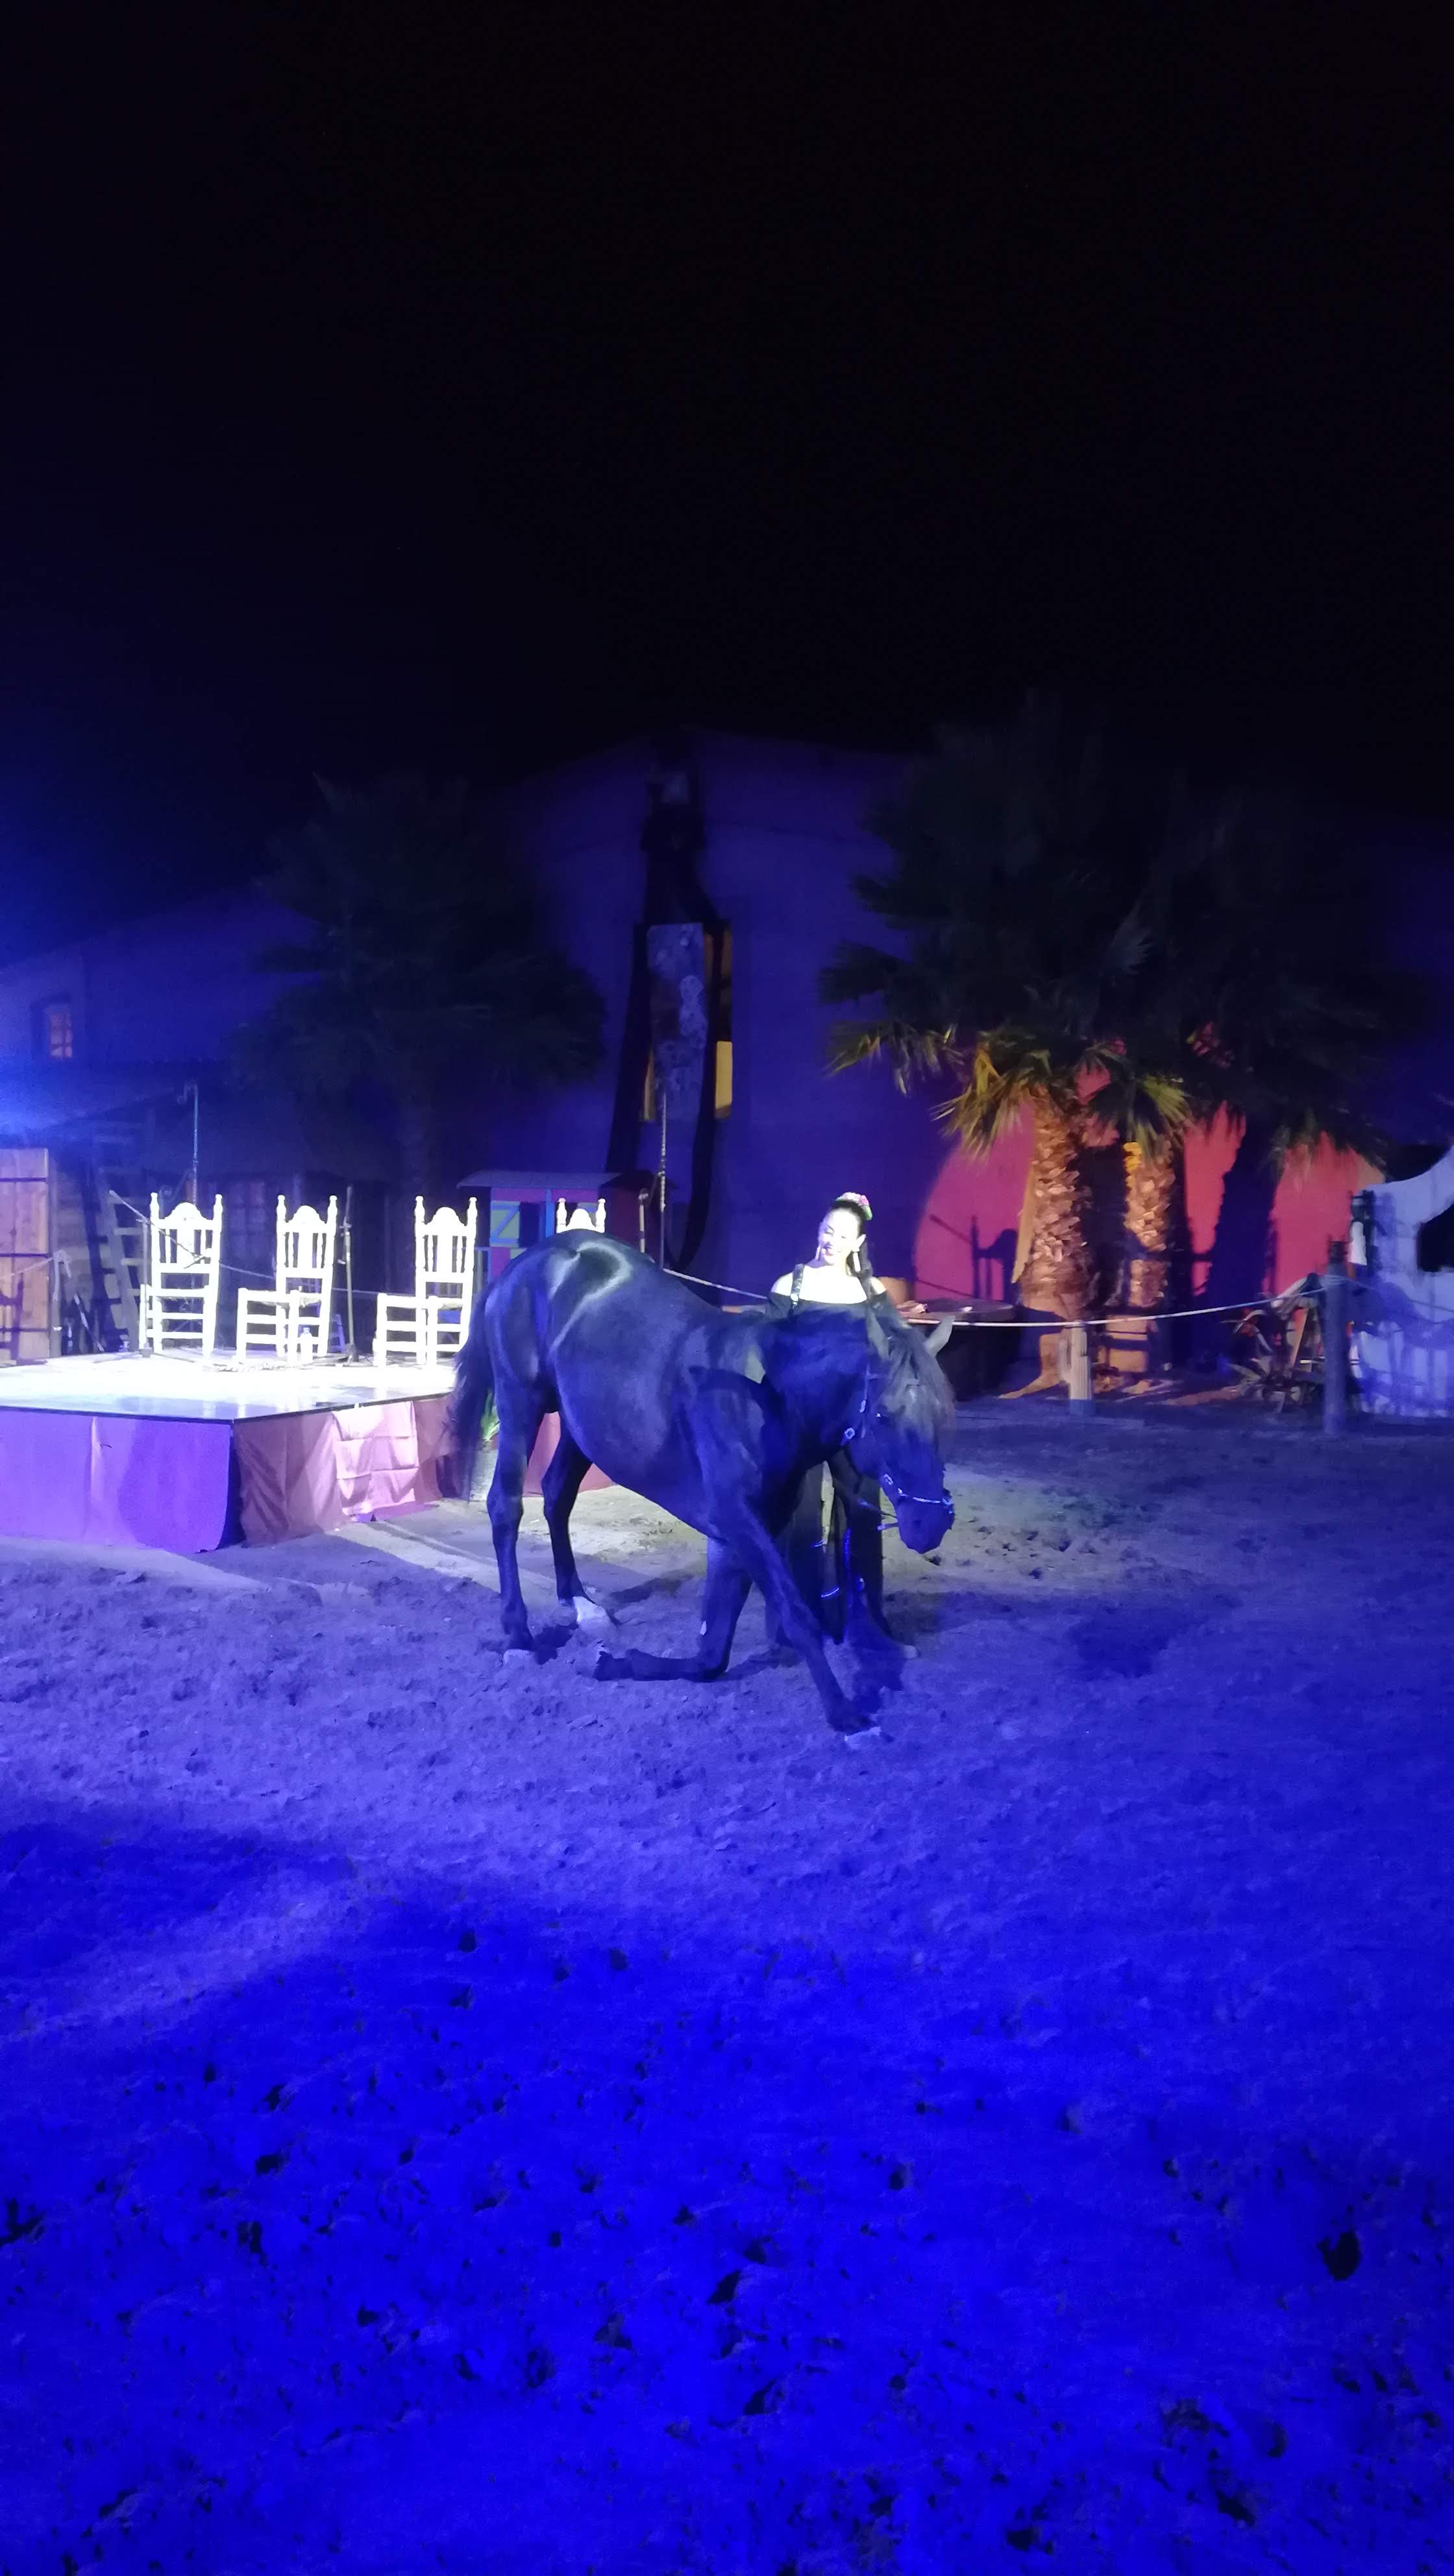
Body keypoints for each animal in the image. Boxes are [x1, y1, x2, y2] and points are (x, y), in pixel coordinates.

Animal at [449, 1235, 955, 1738]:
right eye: (884, 1414)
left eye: (943, 1414)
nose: (931, 1521)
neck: (765, 1398)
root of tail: (531, 1259)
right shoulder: (737, 1520)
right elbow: (793, 1614)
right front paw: (845, 1713)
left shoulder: (746, 1530)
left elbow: (713, 1653)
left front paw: (619, 1663)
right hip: (520, 1402)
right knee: (506, 1506)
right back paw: (519, 1634)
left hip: (580, 1427)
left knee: (557, 1496)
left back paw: (578, 1601)